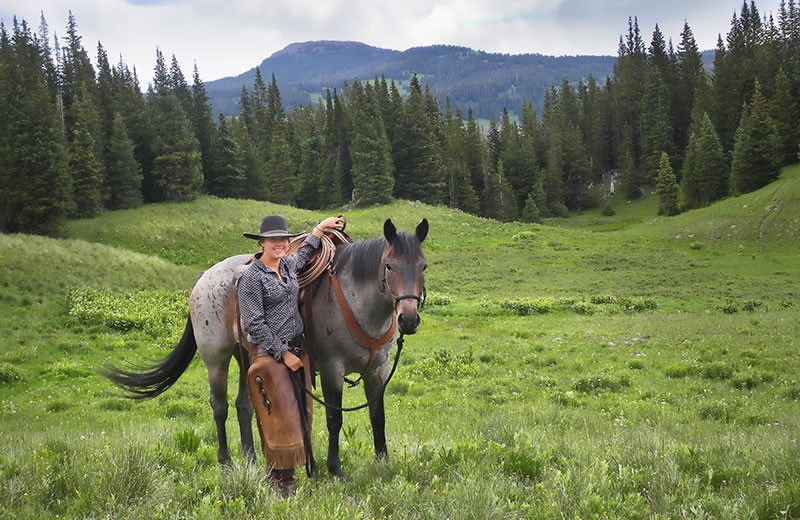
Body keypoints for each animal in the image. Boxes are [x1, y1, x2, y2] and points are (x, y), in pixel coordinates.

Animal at [107, 217, 432, 478]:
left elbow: (378, 415)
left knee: (243, 405)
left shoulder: (378, 369)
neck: (356, 303)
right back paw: (226, 463)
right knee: (220, 406)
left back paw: (251, 460)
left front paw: (383, 462)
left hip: (246, 357)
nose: (409, 319)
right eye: (389, 266)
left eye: (423, 266)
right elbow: (334, 418)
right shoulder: (332, 368)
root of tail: (204, 277)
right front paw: (335, 469)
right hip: (216, 358)